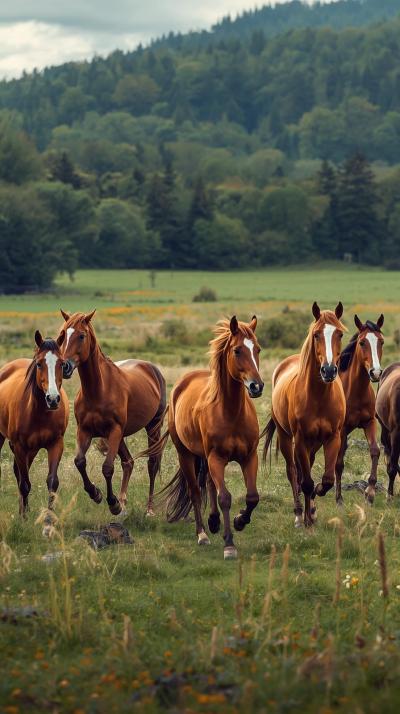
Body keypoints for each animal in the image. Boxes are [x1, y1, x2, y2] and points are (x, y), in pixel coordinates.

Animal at [0, 331, 68, 526]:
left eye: (62, 363)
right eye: (39, 364)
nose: (53, 399)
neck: (40, 413)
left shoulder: (56, 444)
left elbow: (52, 482)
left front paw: (49, 518)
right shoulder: (19, 446)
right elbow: (25, 484)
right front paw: (23, 519)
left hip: (32, 449)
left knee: (19, 472)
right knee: (21, 477)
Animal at [58, 310, 166, 516]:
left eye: (81, 336)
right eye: (62, 336)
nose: (65, 367)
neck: (98, 390)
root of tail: (151, 368)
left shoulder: (114, 430)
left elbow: (107, 468)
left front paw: (112, 503)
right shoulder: (84, 431)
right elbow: (79, 462)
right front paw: (96, 494)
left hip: (152, 427)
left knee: (152, 463)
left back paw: (148, 509)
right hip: (122, 435)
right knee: (128, 462)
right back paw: (123, 501)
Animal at [153, 315, 263, 560]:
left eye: (257, 349)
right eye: (237, 350)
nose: (257, 386)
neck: (231, 413)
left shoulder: (249, 457)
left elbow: (252, 497)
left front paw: (239, 521)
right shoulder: (216, 458)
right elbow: (225, 497)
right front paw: (229, 544)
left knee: (210, 485)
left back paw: (214, 522)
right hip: (187, 455)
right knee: (196, 491)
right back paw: (203, 533)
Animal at [262, 302, 346, 527]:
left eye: (340, 334)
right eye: (316, 334)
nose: (328, 371)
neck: (319, 397)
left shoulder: (333, 437)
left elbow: (327, 480)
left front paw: (315, 507)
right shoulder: (299, 439)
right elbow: (306, 482)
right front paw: (306, 519)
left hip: (314, 443)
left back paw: (311, 510)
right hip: (286, 437)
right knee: (293, 472)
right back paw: (300, 513)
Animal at [335, 314, 384, 505]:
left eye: (381, 342)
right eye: (362, 342)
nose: (375, 373)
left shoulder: (369, 423)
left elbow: (375, 451)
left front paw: (370, 493)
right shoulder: (342, 429)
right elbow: (339, 463)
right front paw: (339, 499)